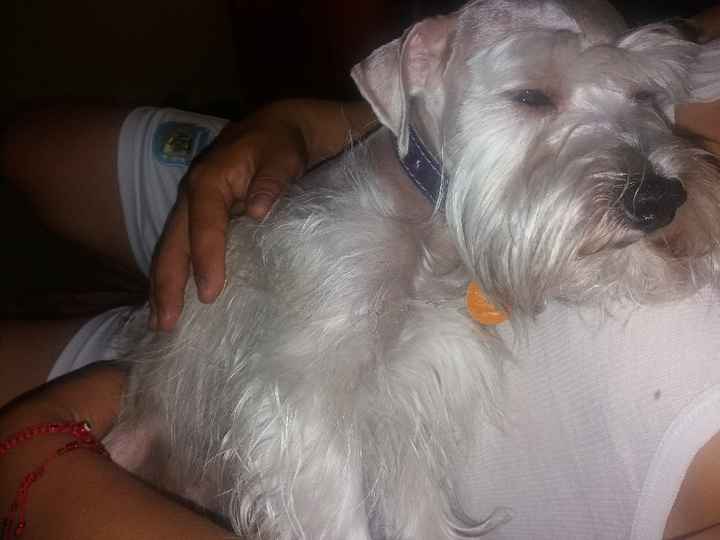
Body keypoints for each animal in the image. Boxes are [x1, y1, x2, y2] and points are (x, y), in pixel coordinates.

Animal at [107, 0, 720, 536]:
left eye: (645, 93)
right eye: (531, 95)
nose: (659, 199)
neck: (431, 235)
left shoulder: (408, 412)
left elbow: (418, 514)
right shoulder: (303, 402)